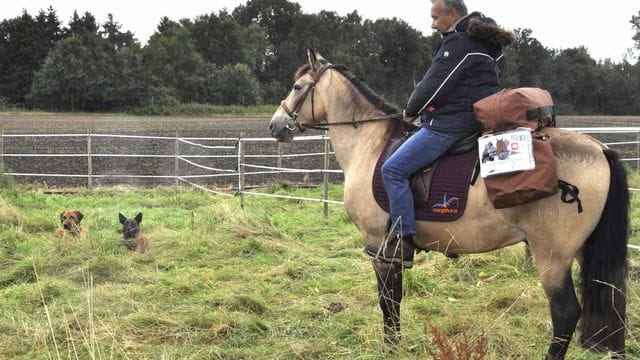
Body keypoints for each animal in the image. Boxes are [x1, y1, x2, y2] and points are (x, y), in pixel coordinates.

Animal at [268, 48, 628, 360]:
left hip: (552, 256)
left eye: (297, 86)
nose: (275, 124)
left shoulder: (379, 247)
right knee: (612, 305)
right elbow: (394, 299)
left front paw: (390, 347)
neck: (371, 145)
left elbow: (388, 301)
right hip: (582, 252)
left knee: (566, 314)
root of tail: (600, 149)